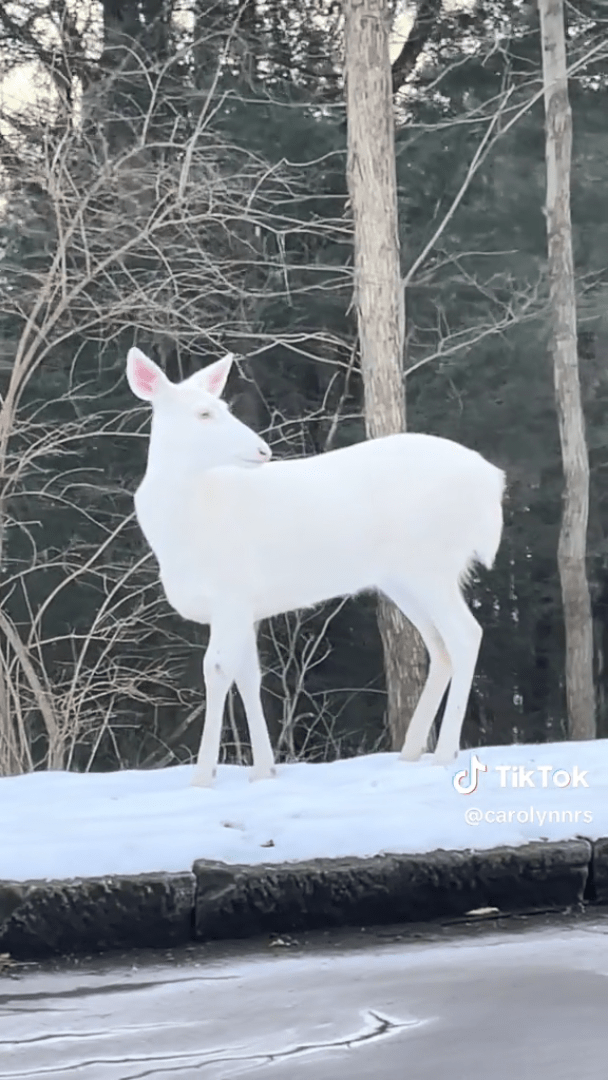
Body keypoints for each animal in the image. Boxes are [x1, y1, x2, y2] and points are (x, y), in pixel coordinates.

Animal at [127, 345, 505, 786]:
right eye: (204, 413)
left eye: (224, 407)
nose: (262, 450)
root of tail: (493, 481)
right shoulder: (247, 605)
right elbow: (249, 675)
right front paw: (264, 770)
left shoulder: (231, 594)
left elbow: (217, 670)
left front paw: (203, 777)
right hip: (404, 577)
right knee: (440, 646)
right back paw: (411, 752)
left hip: (432, 562)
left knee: (466, 635)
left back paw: (444, 753)